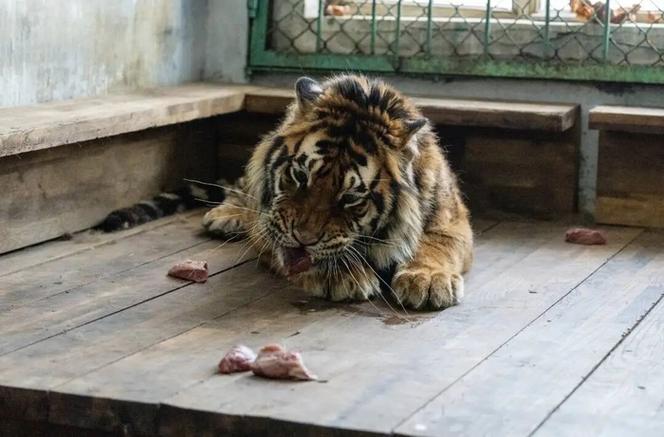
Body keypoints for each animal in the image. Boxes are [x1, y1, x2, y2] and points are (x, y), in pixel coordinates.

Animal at [202, 75, 473, 310]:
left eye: (350, 198)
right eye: (300, 176)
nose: (303, 239)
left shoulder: (451, 220)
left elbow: (436, 244)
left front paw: (427, 280)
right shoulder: (268, 223)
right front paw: (344, 277)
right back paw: (224, 217)